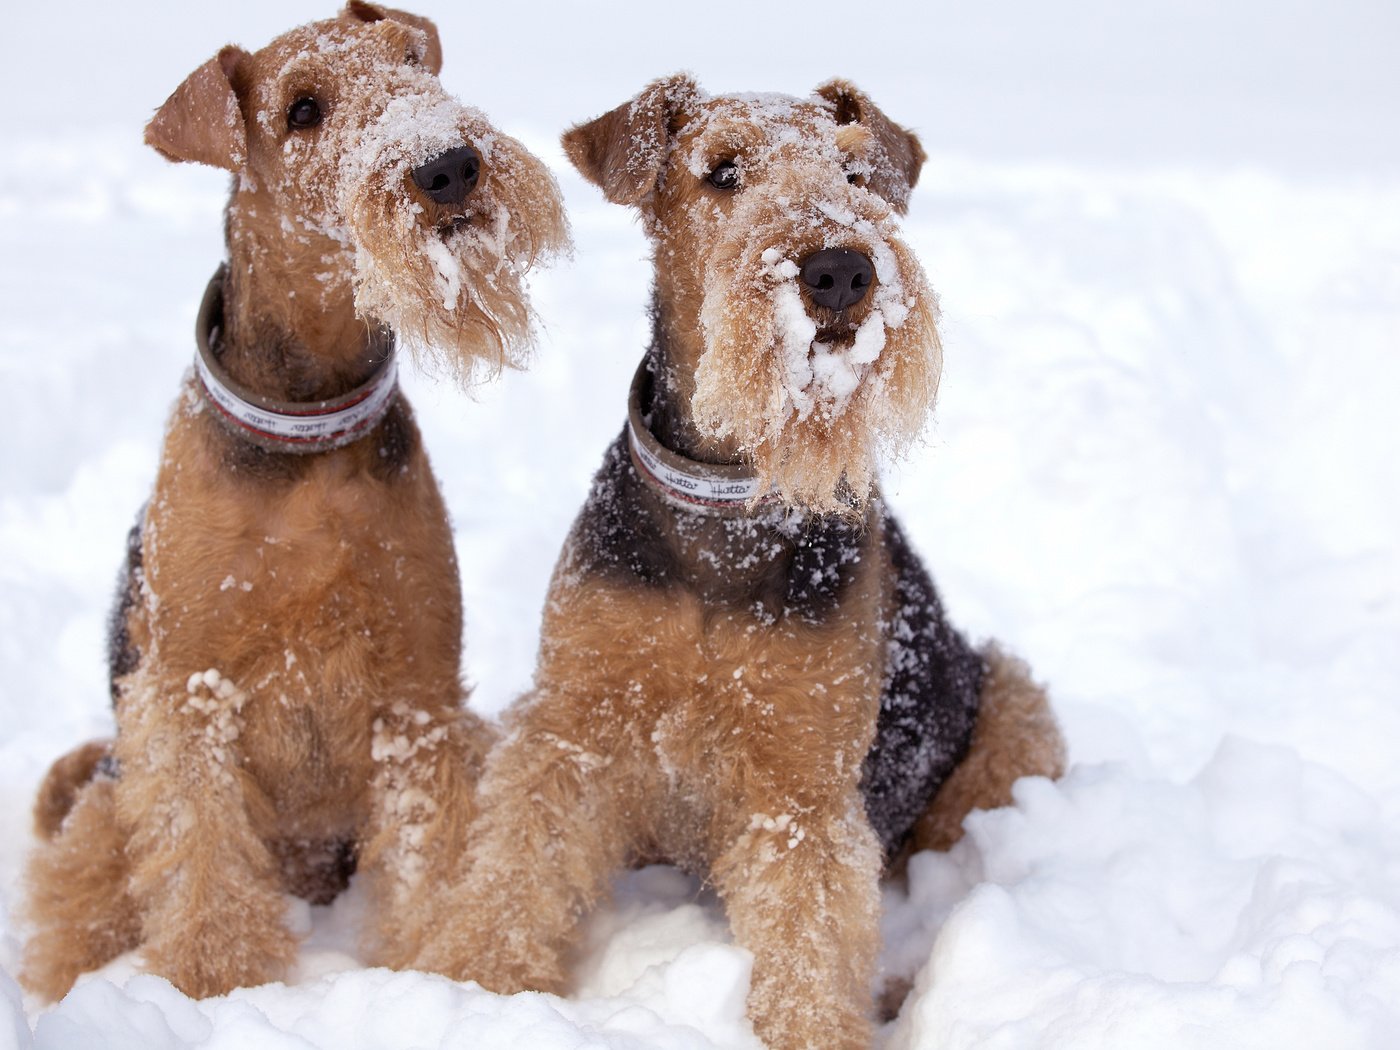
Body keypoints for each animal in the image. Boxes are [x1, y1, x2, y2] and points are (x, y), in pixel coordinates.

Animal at [21, 0, 568, 1002]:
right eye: (303, 110)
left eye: (410, 59)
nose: (448, 164)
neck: (308, 421)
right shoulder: (190, 692)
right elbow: (200, 858)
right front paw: (211, 982)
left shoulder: (417, 692)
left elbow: (429, 854)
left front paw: (427, 968)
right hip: (114, 792)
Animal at [408, 78, 1064, 1050]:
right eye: (722, 170)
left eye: (856, 172)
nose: (840, 270)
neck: (725, 505)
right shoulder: (576, 723)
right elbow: (523, 862)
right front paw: (472, 987)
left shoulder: (802, 779)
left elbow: (808, 932)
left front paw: (816, 1031)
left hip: (1013, 711)